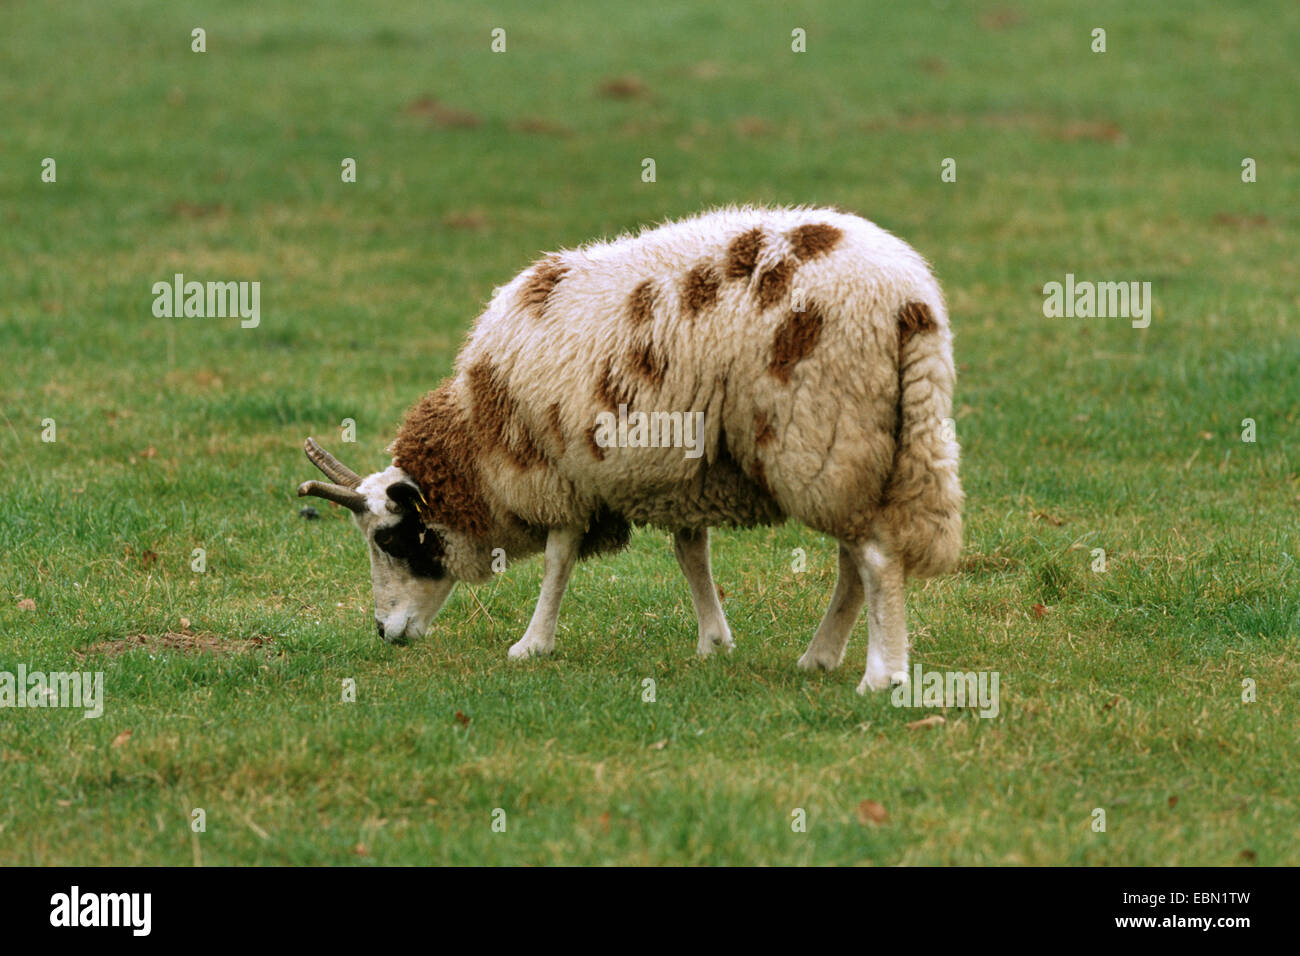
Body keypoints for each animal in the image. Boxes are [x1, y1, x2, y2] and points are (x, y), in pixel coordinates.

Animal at [299, 204, 961, 697]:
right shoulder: (680, 471)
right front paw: (714, 640)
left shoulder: (559, 470)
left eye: (390, 539)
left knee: (874, 556)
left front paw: (532, 644)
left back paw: (881, 674)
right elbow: (691, 554)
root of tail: (908, 301)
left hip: (825, 428)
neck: (481, 434)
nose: (384, 632)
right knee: (855, 558)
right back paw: (821, 656)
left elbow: (559, 558)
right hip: (873, 443)